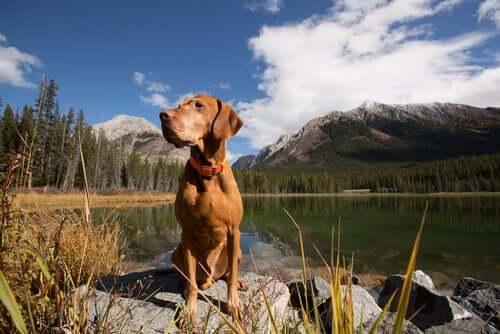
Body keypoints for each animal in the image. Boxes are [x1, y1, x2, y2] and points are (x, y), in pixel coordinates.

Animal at [159, 95, 245, 324]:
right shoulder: (187, 233)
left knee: (228, 274)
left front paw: (234, 304)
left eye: (199, 105)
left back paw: (238, 281)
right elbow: (191, 284)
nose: (162, 115)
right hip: (176, 253)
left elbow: (232, 275)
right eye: (179, 105)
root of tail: (210, 277)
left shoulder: (234, 231)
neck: (208, 170)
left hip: (237, 251)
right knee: (189, 279)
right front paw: (189, 310)